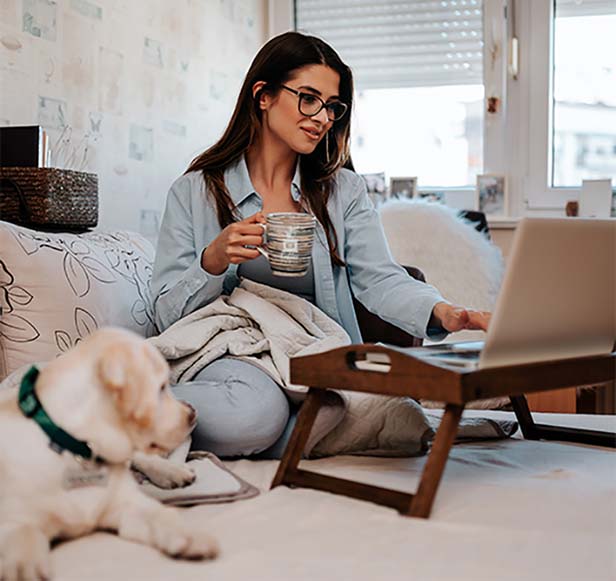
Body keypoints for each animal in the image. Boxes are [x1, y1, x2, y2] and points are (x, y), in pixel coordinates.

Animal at [0, 328, 218, 576]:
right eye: (161, 388)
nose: (193, 412)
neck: (80, 449)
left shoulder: (127, 504)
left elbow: (163, 514)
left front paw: (192, 535)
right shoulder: (13, 520)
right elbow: (24, 535)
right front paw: (25, 568)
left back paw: (171, 471)